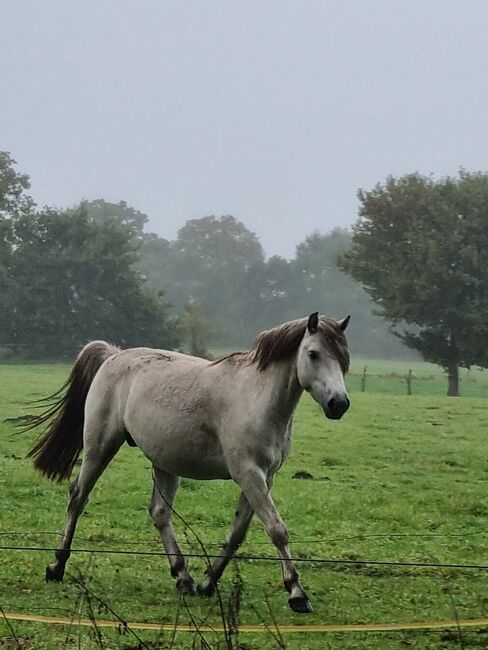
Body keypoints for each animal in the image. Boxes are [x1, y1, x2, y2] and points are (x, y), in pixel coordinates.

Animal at [27, 312, 350, 613]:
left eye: (342, 358)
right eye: (313, 354)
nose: (339, 404)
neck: (256, 397)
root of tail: (114, 355)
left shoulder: (264, 477)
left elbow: (237, 533)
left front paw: (207, 584)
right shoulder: (248, 474)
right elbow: (276, 529)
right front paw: (297, 594)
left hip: (164, 462)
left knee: (159, 513)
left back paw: (183, 576)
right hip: (99, 448)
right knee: (78, 498)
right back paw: (57, 567)